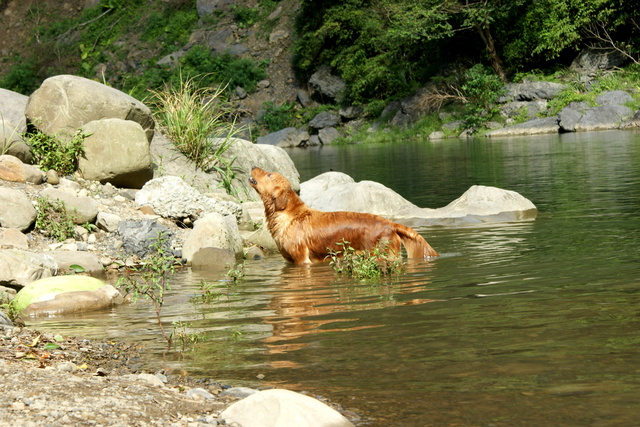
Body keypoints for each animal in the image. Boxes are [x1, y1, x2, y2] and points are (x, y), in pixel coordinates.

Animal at [248, 169, 438, 266]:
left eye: (269, 174)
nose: (253, 167)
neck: (289, 215)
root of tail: (390, 223)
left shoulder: (302, 260)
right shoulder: (290, 261)